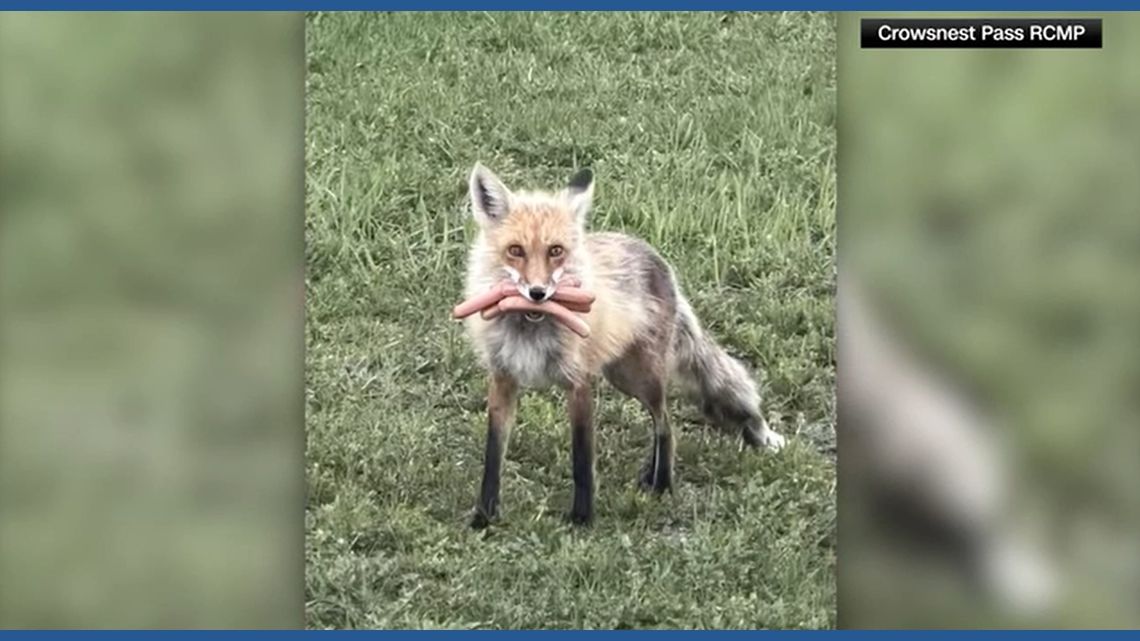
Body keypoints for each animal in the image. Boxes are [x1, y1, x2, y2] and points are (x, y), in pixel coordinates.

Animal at [462, 163, 785, 528]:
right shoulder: (503, 379)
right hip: (621, 374)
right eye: (515, 250)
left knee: (665, 424)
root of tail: (657, 258)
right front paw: (484, 517)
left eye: (556, 251)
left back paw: (662, 484)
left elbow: (582, 459)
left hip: (641, 377)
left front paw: (582, 519)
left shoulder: (578, 382)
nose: (538, 293)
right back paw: (650, 476)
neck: (531, 326)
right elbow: (493, 456)